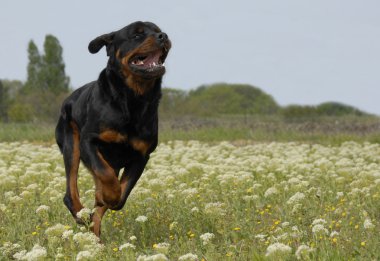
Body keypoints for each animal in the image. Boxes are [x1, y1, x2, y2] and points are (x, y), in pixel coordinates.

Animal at [54, 21, 171, 236]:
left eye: (158, 30)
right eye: (137, 35)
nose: (163, 36)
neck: (134, 98)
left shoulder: (142, 154)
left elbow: (122, 193)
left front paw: (110, 197)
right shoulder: (88, 141)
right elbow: (105, 174)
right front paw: (109, 194)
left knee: (96, 206)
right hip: (71, 144)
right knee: (71, 192)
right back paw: (82, 215)